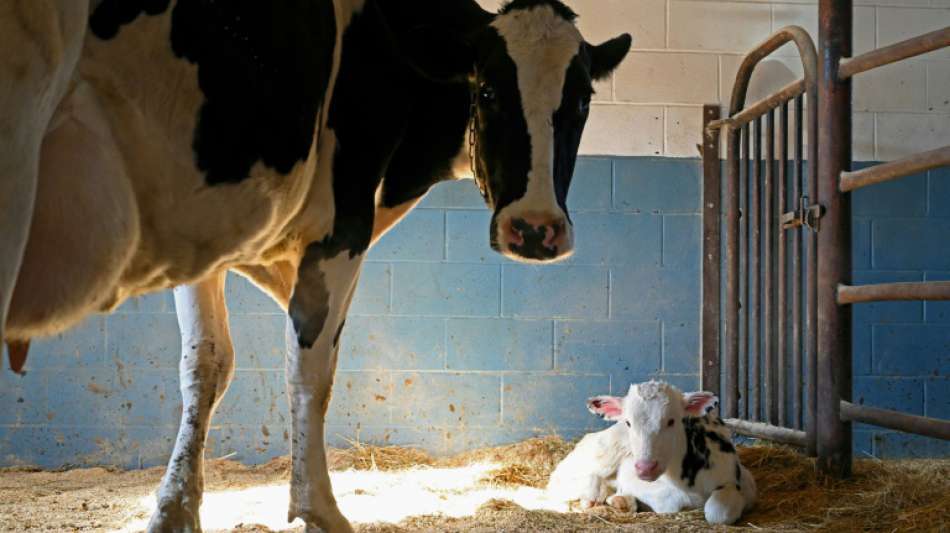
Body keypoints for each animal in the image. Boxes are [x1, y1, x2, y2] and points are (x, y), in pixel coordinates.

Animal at [3, 2, 636, 528]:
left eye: (581, 101)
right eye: (486, 93)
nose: (534, 228)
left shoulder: (207, 231)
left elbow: (211, 365)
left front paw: (176, 510)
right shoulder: (338, 229)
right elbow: (302, 368)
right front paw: (316, 510)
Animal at [588, 382, 760, 524]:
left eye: (671, 421)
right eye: (628, 422)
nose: (645, 468)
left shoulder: (740, 481)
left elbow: (718, 513)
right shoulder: (629, 475)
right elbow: (673, 501)